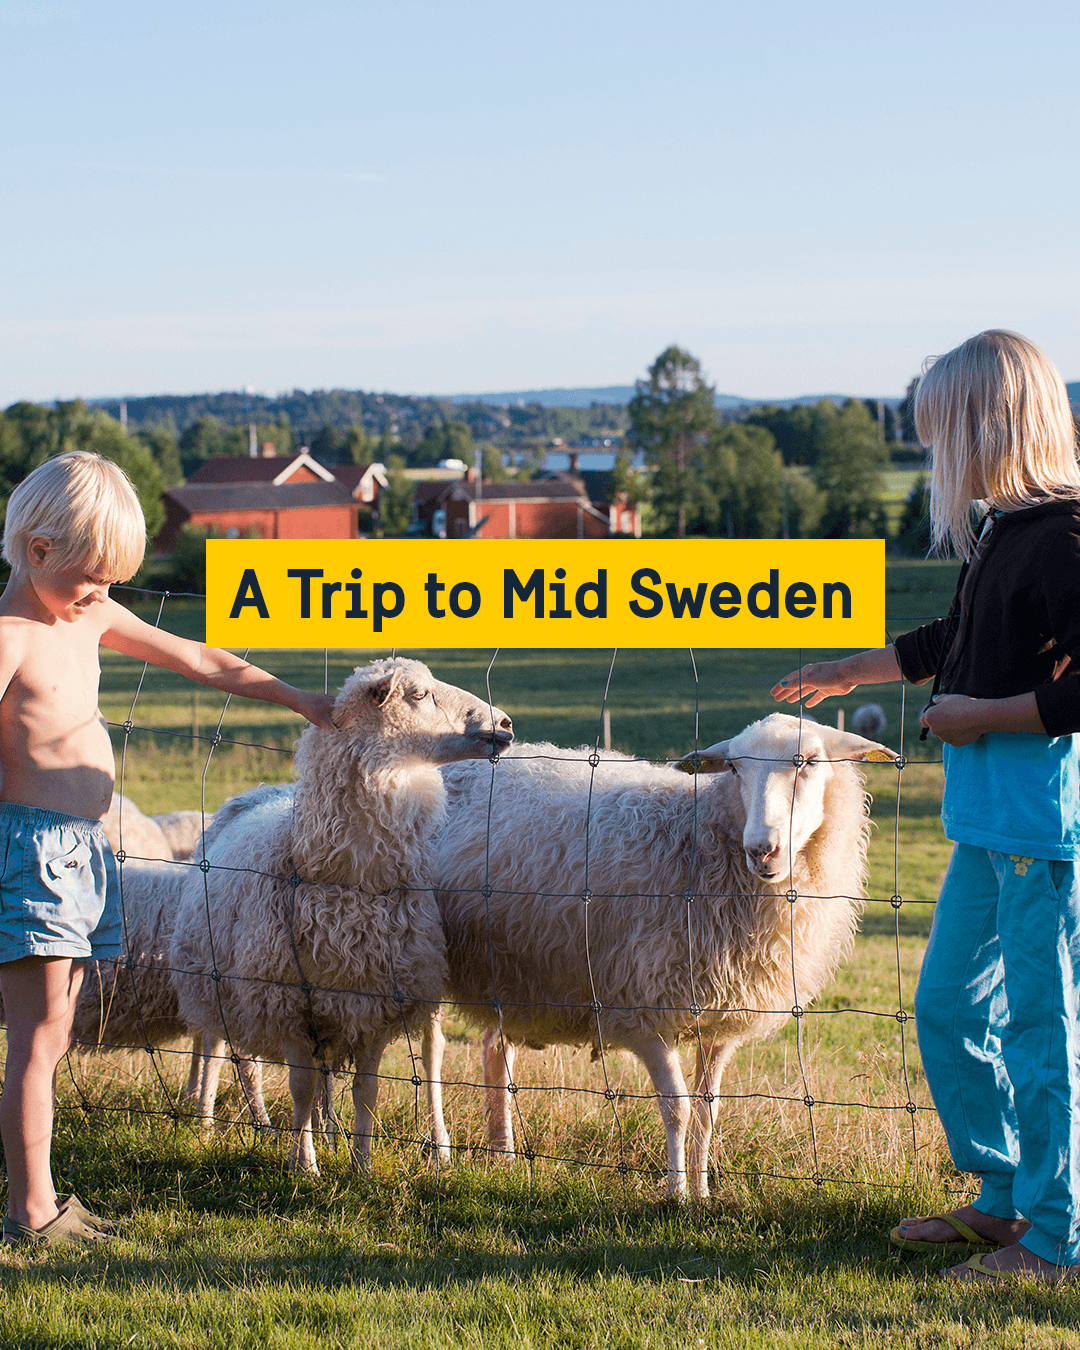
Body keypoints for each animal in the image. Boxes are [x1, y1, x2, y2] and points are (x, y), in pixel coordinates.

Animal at [170, 653, 515, 1171]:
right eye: (418, 693)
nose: (506, 724)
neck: (352, 882)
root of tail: (260, 791)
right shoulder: (288, 1004)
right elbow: (301, 1086)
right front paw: (305, 1165)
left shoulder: (373, 1003)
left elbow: (365, 1091)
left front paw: (361, 1167)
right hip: (215, 981)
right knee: (218, 1051)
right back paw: (210, 1124)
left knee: (275, 1067)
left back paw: (288, 1128)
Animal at [429, 712, 896, 1198]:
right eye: (734, 768)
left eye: (808, 761)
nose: (761, 849)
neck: (698, 841)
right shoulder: (643, 1011)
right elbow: (677, 1108)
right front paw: (675, 1193)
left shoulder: (720, 1022)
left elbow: (708, 1113)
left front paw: (703, 1195)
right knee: (433, 1051)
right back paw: (441, 1148)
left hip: (507, 970)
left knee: (494, 1047)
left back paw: (502, 1152)